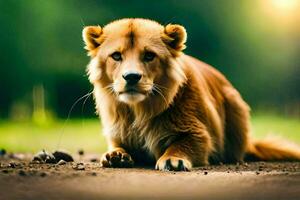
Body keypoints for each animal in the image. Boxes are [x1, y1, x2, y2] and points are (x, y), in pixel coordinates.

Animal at [82, 18, 300, 170]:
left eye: (149, 55)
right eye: (116, 56)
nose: (132, 77)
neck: (139, 110)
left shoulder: (201, 134)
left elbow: (182, 144)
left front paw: (173, 159)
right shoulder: (117, 134)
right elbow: (116, 146)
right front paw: (115, 156)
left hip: (235, 103)